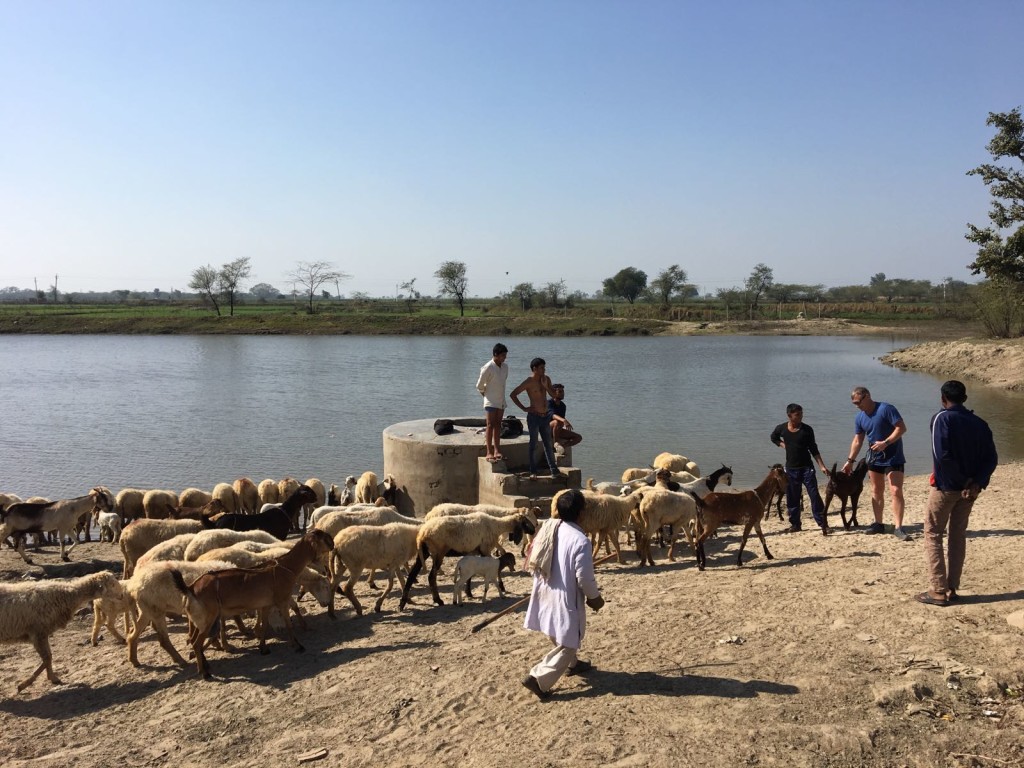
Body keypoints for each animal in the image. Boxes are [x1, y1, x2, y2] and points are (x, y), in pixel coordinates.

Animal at [397, 514, 536, 610]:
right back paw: (438, 600)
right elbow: (496, 571)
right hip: (438, 552)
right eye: (525, 522)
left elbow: (470, 576)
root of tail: (422, 534)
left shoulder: (473, 552)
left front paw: (469, 593)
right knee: (431, 576)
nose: (534, 530)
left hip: (424, 552)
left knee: (412, 574)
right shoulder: (485, 550)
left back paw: (402, 603)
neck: (496, 525)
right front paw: (502, 587)